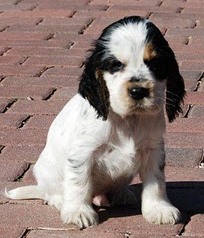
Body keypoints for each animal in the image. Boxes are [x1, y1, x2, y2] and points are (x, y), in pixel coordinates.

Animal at [5, 16, 185, 229]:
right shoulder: (82, 153)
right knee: (52, 194)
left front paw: (159, 209)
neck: (128, 120)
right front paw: (78, 212)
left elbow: (156, 182)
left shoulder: (153, 149)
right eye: (115, 65)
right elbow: (79, 183)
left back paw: (122, 194)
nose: (138, 91)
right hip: (46, 172)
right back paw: (61, 201)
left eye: (155, 64)